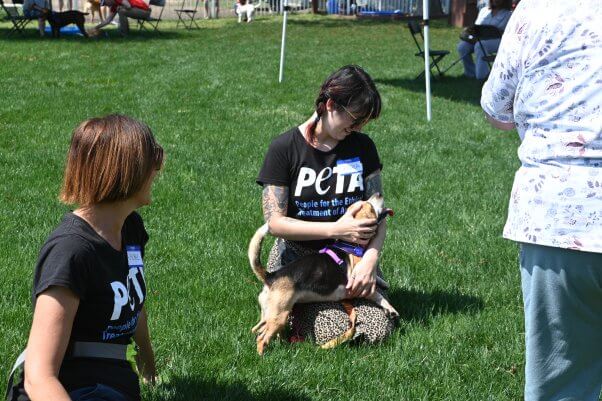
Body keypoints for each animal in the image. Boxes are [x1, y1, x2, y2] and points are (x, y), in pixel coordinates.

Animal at [248, 193, 398, 354]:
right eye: (369, 206)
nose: (379, 194)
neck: (351, 244)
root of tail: (271, 276)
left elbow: (376, 278)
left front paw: (383, 283)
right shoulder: (360, 285)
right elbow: (378, 295)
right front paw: (391, 309)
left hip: (270, 314)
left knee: (258, 329)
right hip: (279, 314)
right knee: (262, 338)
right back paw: (262, 355)